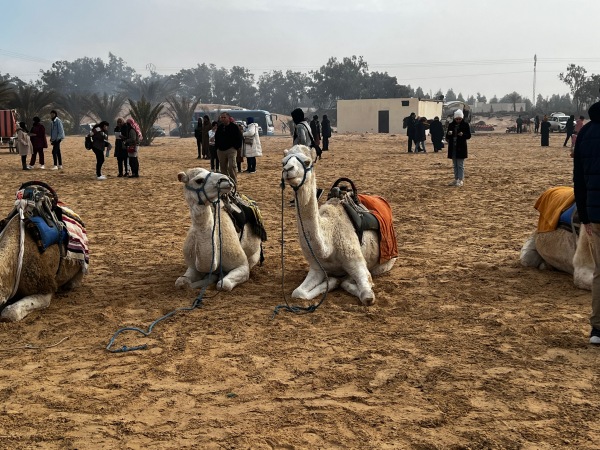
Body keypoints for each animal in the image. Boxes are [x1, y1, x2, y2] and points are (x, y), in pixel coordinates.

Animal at [281, 145, 397, 305]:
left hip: (387, 262)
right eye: (283, 162)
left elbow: (367, 296)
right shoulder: (317, 268)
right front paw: (332, 281)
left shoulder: (357, 262)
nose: (288, 169)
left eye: (307, 162)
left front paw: (338, 280)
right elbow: (298, 293)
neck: (328, 242)